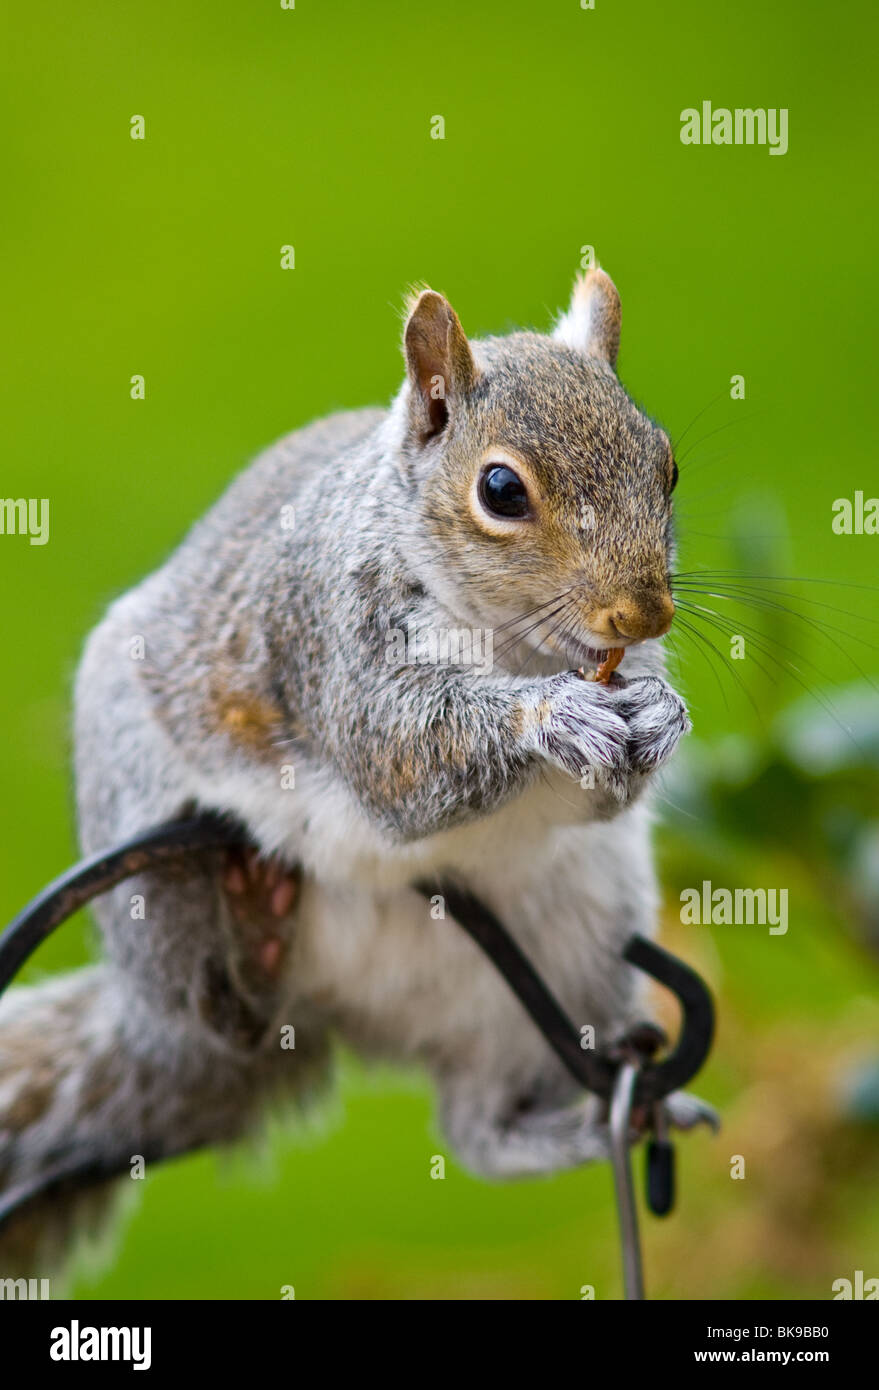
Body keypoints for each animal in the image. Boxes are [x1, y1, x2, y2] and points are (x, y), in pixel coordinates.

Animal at [0, 268, 712, 1273]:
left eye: (667, 465)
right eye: (500, 489)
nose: (642, 613)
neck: (513, 644)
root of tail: (340, 1012)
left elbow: (602, 791)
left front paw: (659, 713)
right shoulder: (333, 633)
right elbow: (396, 757)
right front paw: (550, 715)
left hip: (567, 940)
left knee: (478, 1130)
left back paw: (579, 1125)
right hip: (140, 827)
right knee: (208, 1008)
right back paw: (244, 948)